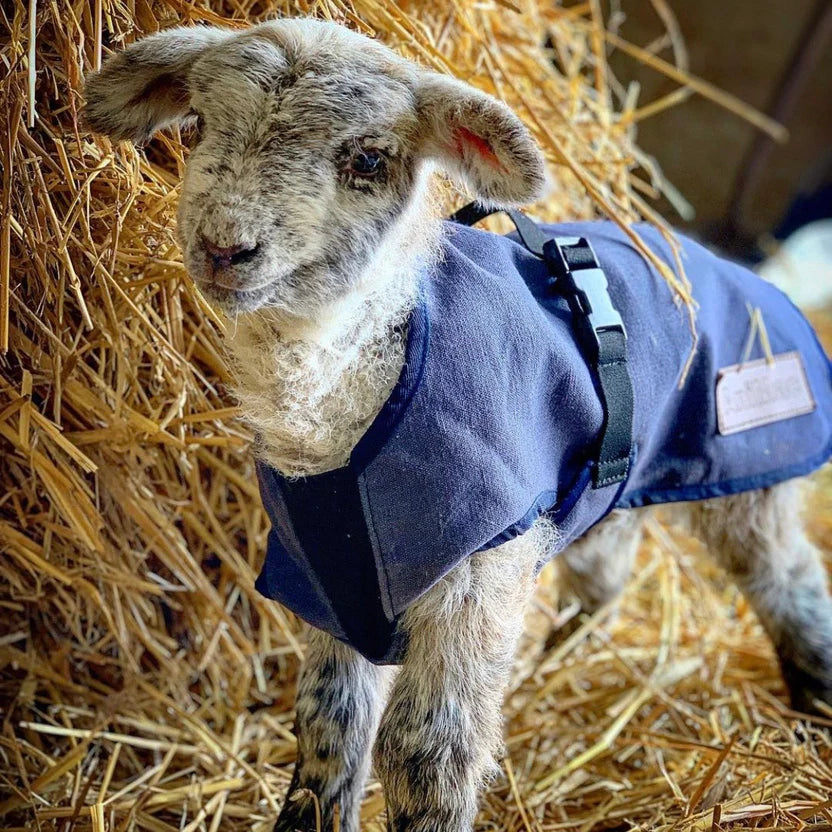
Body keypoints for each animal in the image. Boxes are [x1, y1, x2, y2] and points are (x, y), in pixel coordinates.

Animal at [84, 18, 832, 832]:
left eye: (368, 158)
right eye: (195, 125)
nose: (225, 248)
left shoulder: (478, 555)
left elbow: (427, 744)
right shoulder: (327, 575)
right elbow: (328, 721)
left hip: (749, 451)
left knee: (786, 576)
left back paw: (813, 699)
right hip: (606, 484)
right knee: (606, 562)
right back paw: (561, 660)